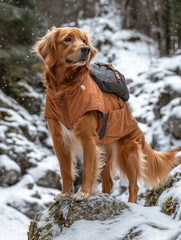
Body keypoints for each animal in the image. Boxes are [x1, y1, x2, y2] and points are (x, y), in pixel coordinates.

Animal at [34, 26, 180, 202]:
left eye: (84, 40)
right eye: (68, 39)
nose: (86, 49)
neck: (65, 89)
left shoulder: (88, 138)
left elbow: (87, 170)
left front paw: (83, 193)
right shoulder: (59, 139)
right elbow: (66, 171)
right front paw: (66, 193)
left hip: (127, 152)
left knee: (134, 186)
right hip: (105, 152)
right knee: (109, 182)